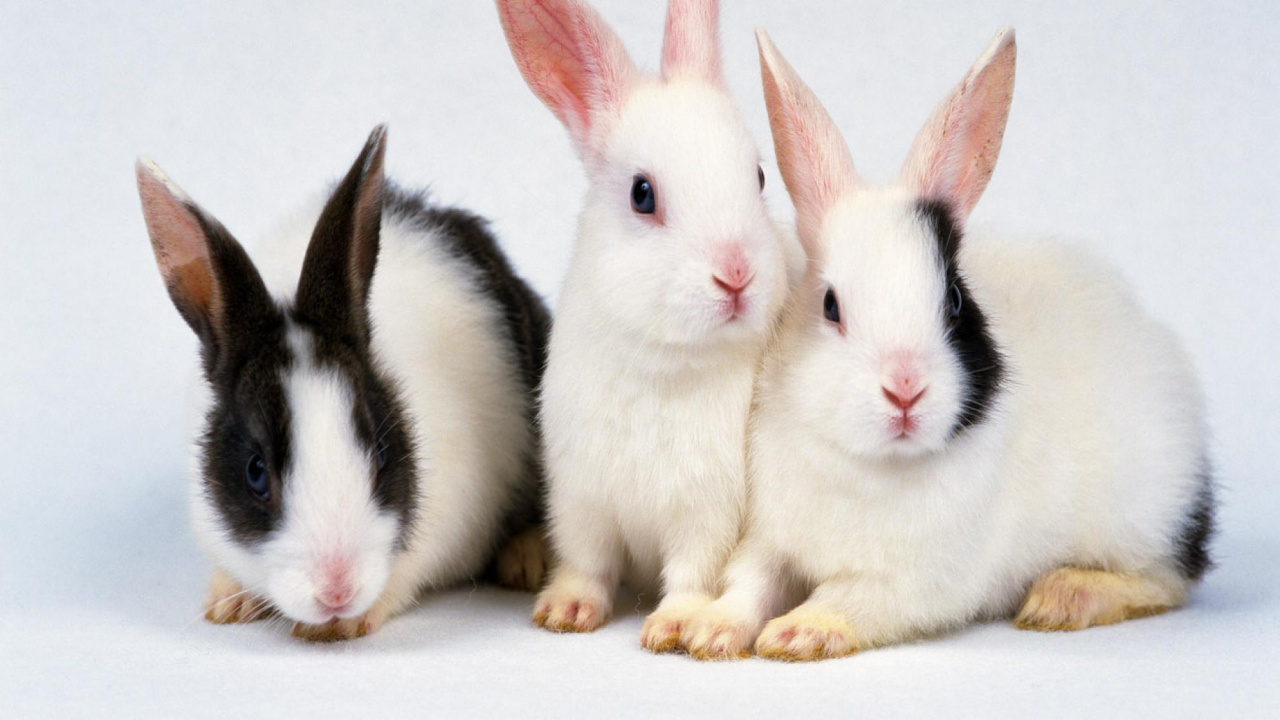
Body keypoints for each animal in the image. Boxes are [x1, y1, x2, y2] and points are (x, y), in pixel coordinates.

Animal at [136, 126, 553, 641]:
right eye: (256, 471)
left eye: (381, 452)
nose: (337, 591)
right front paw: (227, 601)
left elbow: (404, 577)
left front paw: (347, 623)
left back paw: (526, 560)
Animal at [495, 0, 800, 650]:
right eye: (642, 194)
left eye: (758, 177)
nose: (736, 274)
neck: (663, 359)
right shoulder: (582, 500)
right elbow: (587, 562)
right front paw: (566, 610)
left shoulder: (706, 515)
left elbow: (692, 573)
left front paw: (676, 625)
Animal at [681, 28, 1215, 662]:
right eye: (830, 306)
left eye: (955, 302)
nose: (905, 389)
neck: (870, 464)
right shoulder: (771, 538)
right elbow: (749, 582)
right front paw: (711, 630)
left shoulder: (911, 584)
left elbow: (847, 597)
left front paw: (797, 632)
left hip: (1144, 516)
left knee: (1167, 579)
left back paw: (1063, 597)